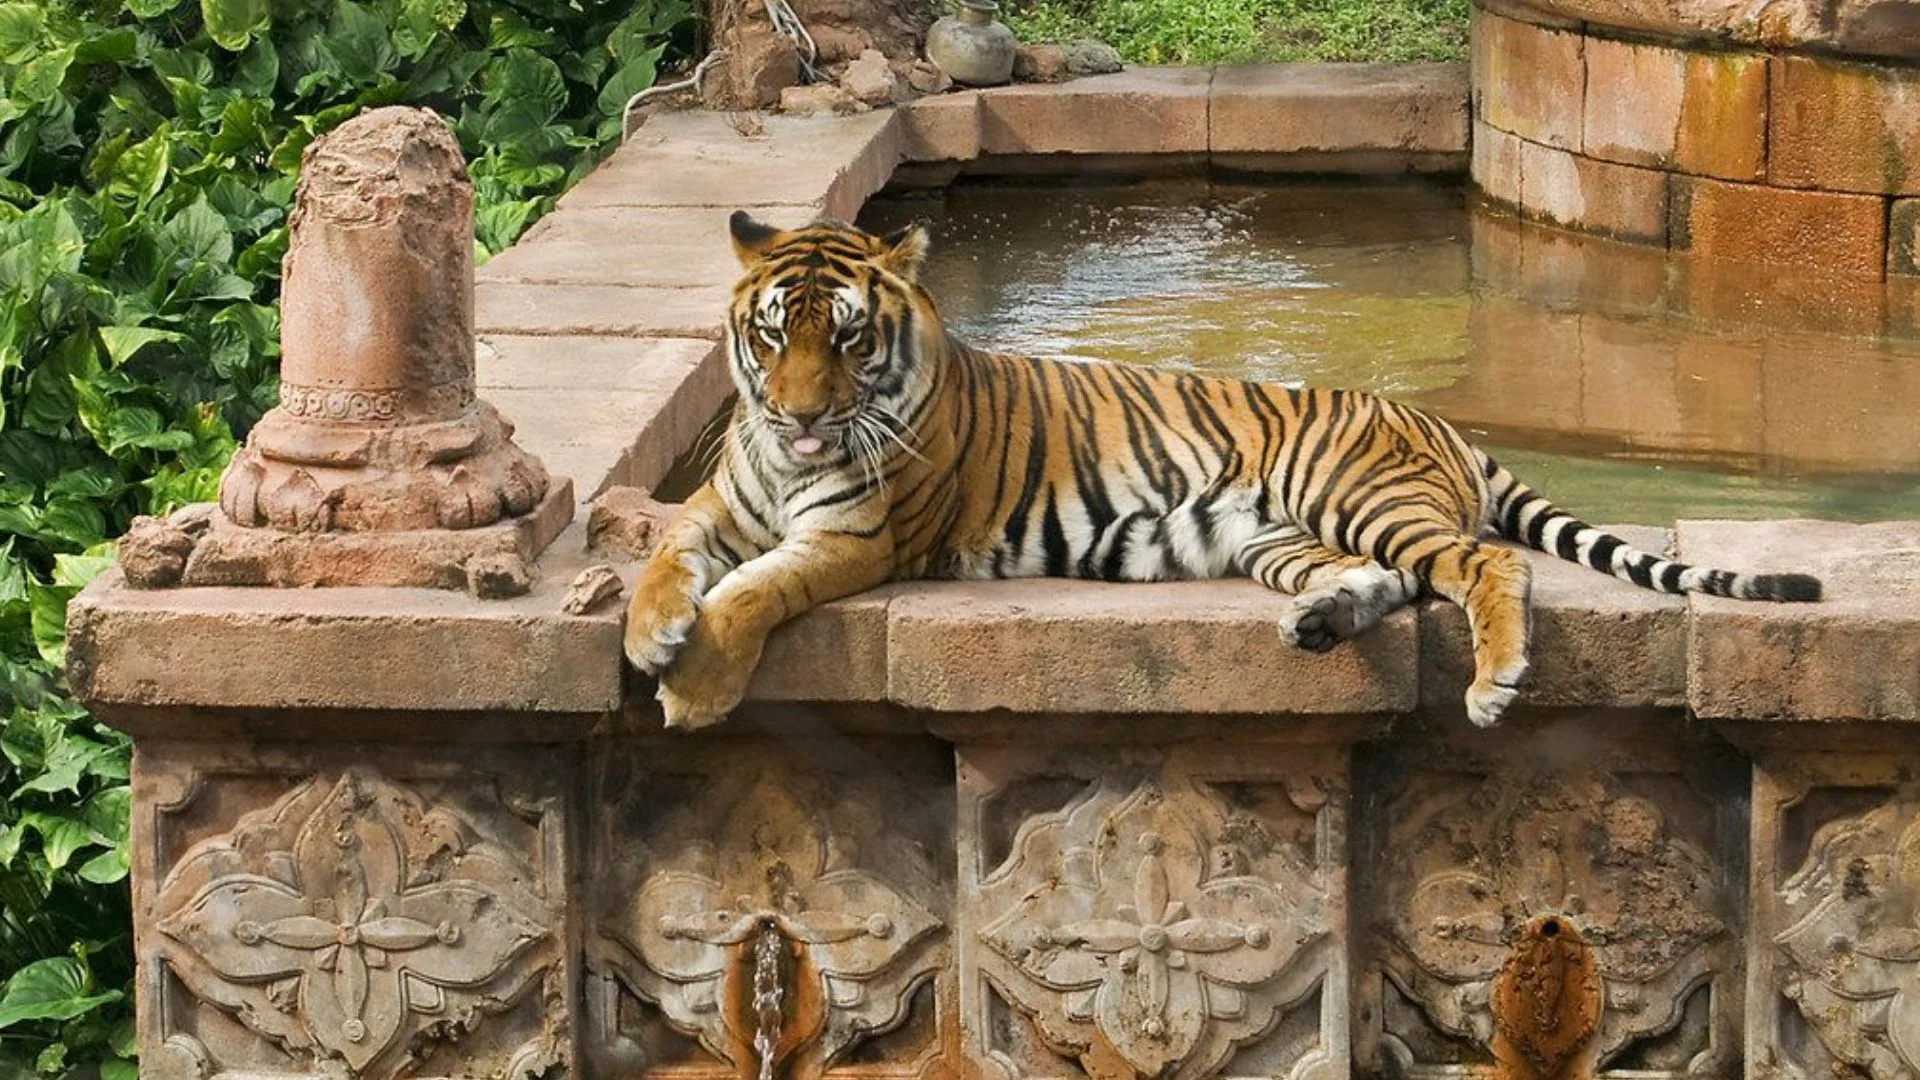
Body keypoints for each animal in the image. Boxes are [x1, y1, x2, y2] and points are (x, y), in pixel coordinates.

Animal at [623, 211, 1822, 730]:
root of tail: (1435, 417)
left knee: (1485, 565)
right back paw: (1321, 626)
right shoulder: (719, 502)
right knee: (1387, 581)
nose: (797, 414)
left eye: (849, 339)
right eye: (772, 336)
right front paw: (645, 631)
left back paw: (1493, 684)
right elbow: (672, 551)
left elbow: (753, 594)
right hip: (1272, 535)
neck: (784, 462)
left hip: (1358, 494)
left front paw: (691, 687)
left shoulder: (855, 538)